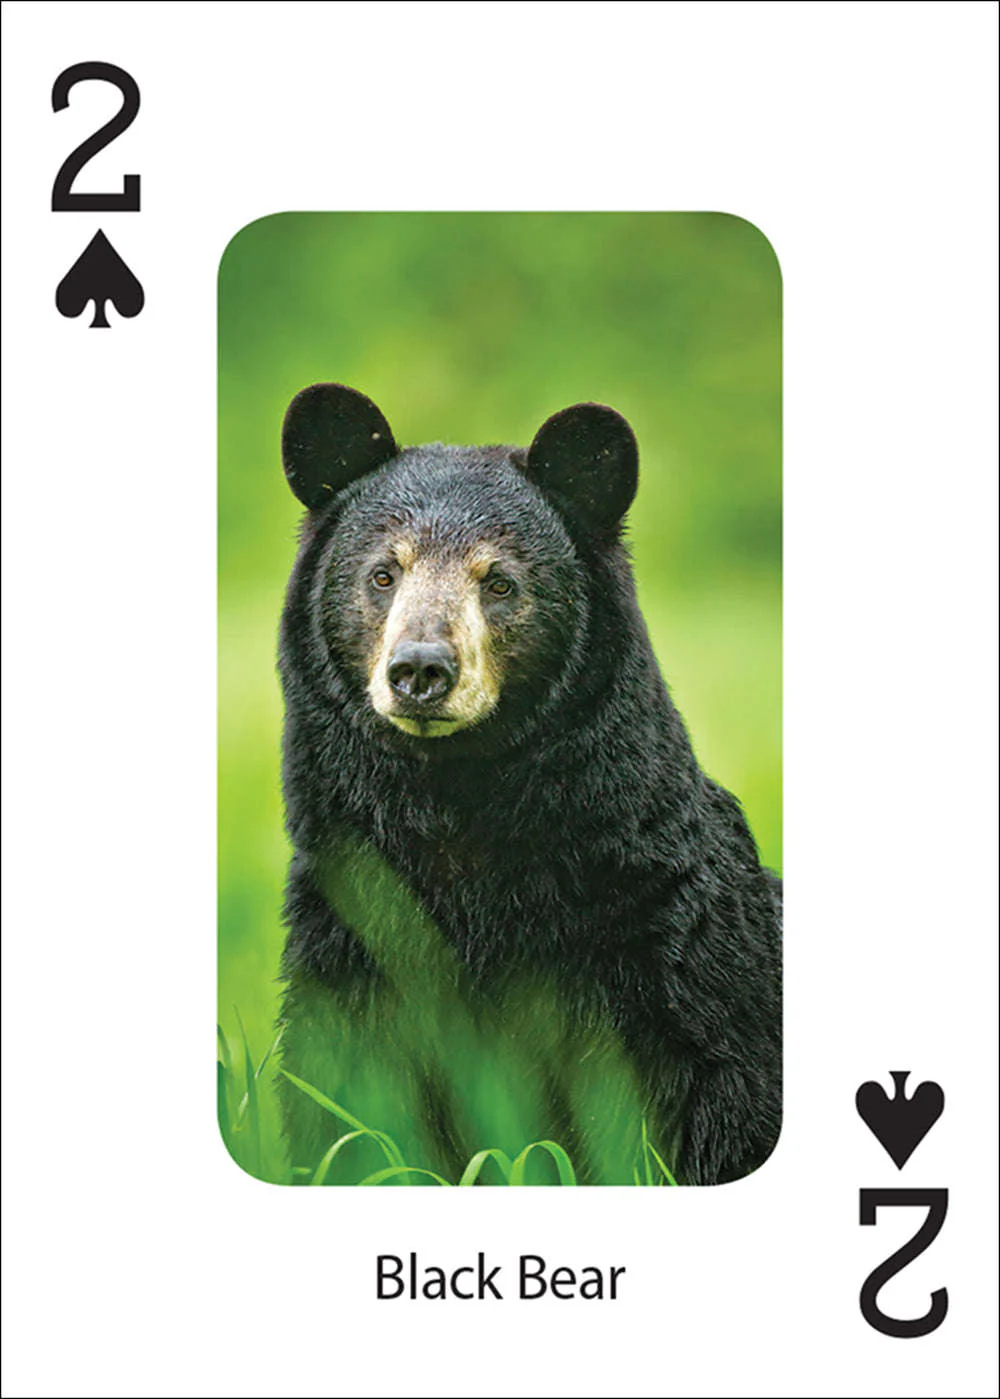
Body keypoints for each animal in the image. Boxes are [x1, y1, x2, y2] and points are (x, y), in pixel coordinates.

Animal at [276, 382, 781, 1186]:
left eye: (500, 581)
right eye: (384, 573)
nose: (421, 669)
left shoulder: (666, 962)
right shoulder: (351, 937)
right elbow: (346, 1109)